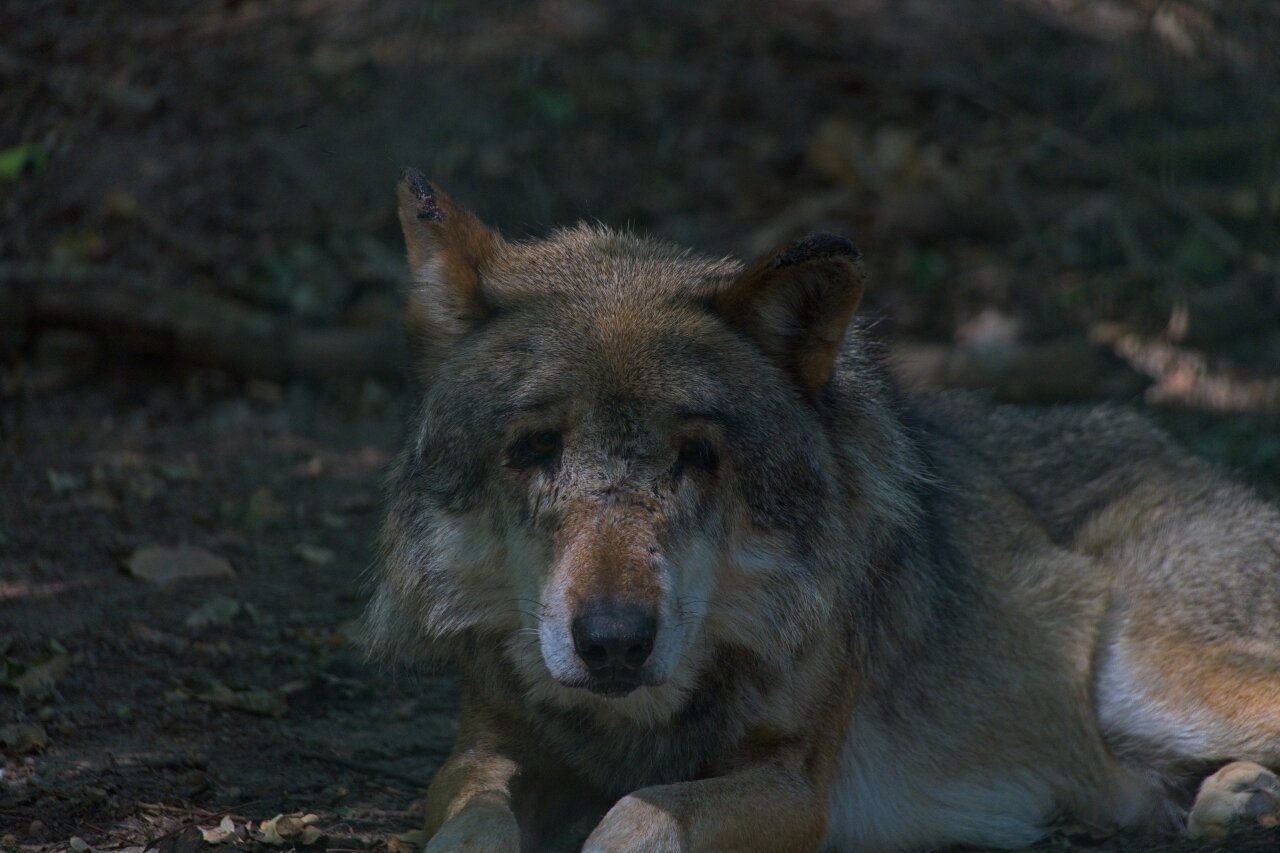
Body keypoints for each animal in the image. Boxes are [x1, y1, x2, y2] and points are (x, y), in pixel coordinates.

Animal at [362, 170, 1280, 852]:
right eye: (535, 448)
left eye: (698, 457)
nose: (614, 640)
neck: (634, 722)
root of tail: (1181, 453)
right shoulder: (485, 747)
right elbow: (473, 819)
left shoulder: (796, 786)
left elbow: (638, 814)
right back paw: (1235, 799)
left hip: (1154, 677)